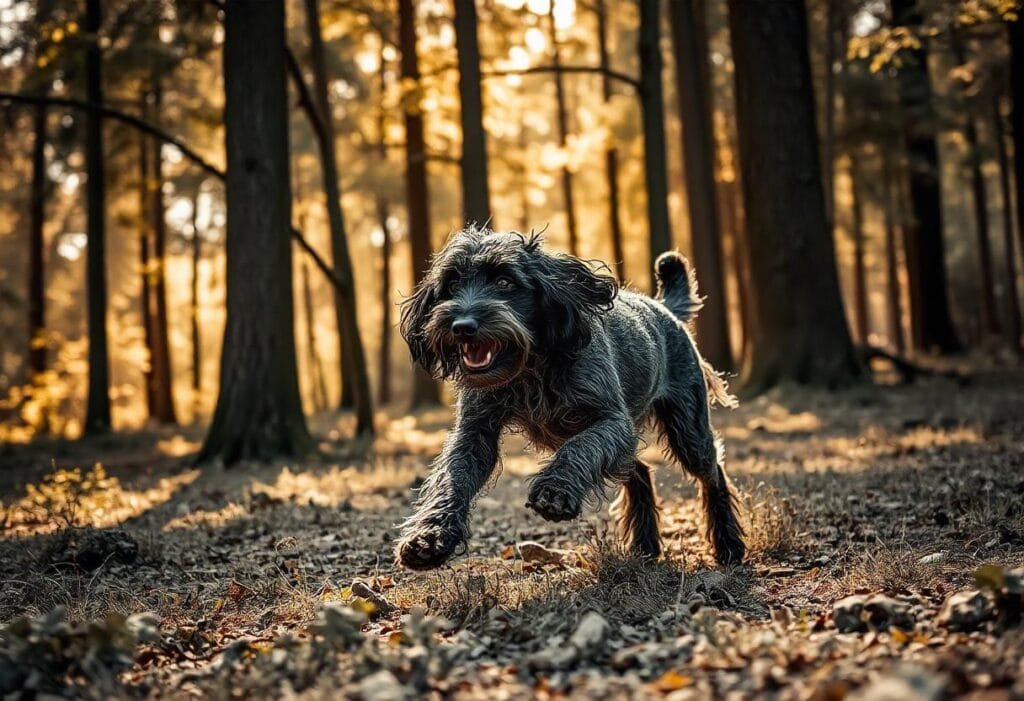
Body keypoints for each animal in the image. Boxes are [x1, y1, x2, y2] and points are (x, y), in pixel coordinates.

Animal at [393, 228, 745, 568]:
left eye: (505, 281)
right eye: (452, 284)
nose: (462, 326)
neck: (530, 367)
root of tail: (665, 309)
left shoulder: (610, 420)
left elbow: (580, 447)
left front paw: (555, 491)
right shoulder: (476, 431)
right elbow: (453, 479)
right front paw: (429, 538)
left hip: (688, 429)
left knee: (713, 472)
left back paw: (729, 545)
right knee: (640, 470)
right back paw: (645, 547)